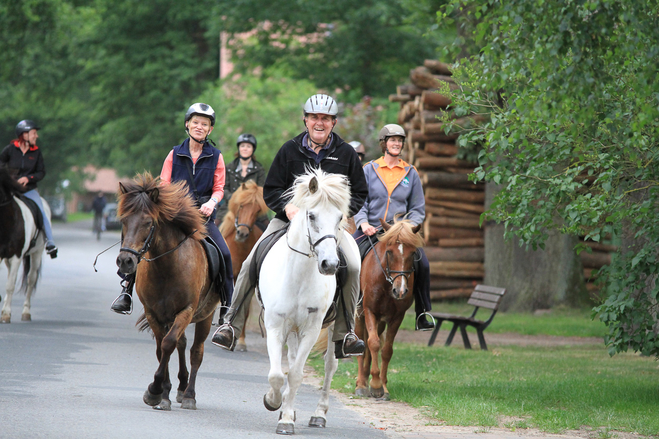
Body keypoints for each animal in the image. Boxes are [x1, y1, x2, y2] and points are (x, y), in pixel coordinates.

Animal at [116, 173, 222, 412]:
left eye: (148, 222)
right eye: (123, 221)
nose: (125, 261)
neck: (166, 266)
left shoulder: (186, 311)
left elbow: (168, 344)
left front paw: (154, 391)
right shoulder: (154, 313)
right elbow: (161, 348)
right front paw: (161, 393)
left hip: (205, 317)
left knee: (195, 351)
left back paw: (189, 395)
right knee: (181, 346)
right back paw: (180, 388)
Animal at [218, 180, 266, 352]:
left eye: (257, 210)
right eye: (241, 206)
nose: (242, 233)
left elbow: (243, 310)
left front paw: (241, 341)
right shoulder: (233, 276)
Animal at [260, 169, 360, 436]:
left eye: (340, 217)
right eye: (311, 215)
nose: (330, 265)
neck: (300, 276)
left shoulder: (312, 330)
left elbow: (295, 374)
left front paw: (285, 420)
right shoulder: (276, 326)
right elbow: (276, 374)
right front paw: (274, 402)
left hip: (334, 328)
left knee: (329, 366)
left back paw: (318, 415)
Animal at [356, 218, 422, 400]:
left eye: (412, 253)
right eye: (389, 252)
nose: (400, 291)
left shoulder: (397, 316)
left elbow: (386, 350)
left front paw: (382, 387)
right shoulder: (369, 310)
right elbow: (373, 343)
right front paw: (375, 385)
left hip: (380, 321)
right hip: (359, 316)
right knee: (361, 342)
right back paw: (361, 384)